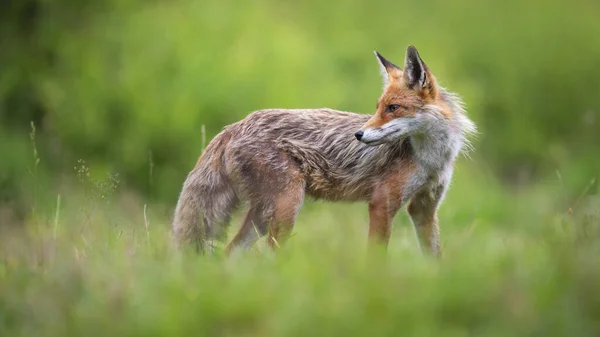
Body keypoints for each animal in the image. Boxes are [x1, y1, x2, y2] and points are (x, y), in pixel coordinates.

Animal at [173, 44, 478, 255]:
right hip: (287, 207)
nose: (359, 135)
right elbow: (376, 259)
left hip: (263, 215)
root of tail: (235, 126)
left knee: (229, 254)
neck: (431, 160)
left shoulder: (424, 207)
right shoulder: (382, 203)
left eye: (393, 108)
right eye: (378, 108)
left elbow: (434, 257)